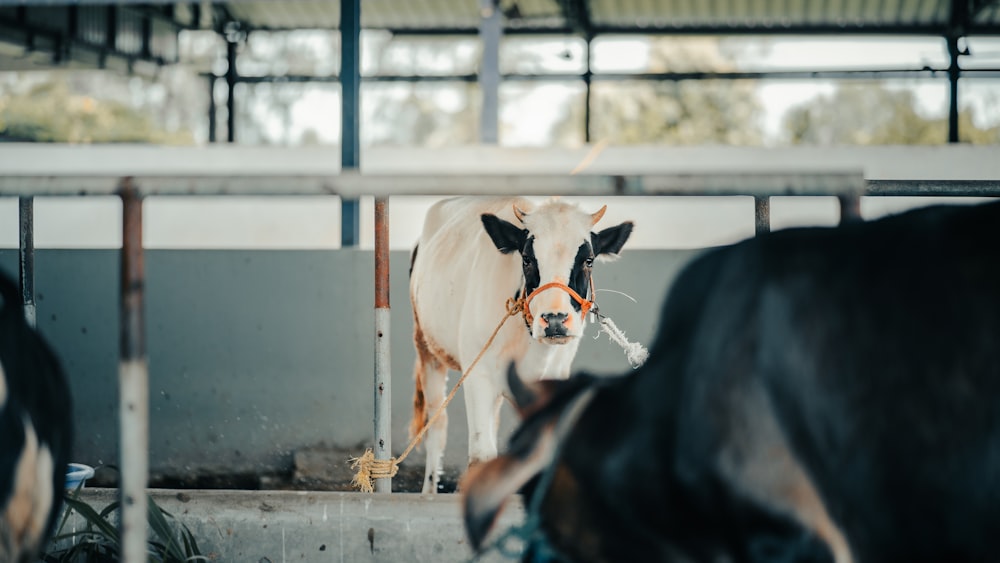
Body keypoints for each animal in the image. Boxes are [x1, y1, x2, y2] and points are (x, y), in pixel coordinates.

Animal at [408, 197, 632, 494]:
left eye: (589, 260)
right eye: (526, 258)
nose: (555, 319)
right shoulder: (478, 374)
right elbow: (481, 456)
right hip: (426, 347)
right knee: (437, 427)